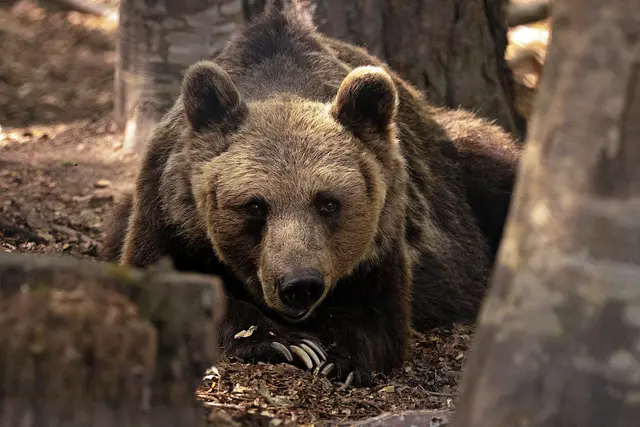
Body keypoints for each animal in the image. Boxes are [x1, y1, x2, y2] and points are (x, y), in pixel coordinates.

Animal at [102, 8, 521, 387]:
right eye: (254, 205)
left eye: (328, 202)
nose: (299, 285)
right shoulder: (168, 210)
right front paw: (286, 342)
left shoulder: (386, 234)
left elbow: (379, 317)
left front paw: (337, 356)